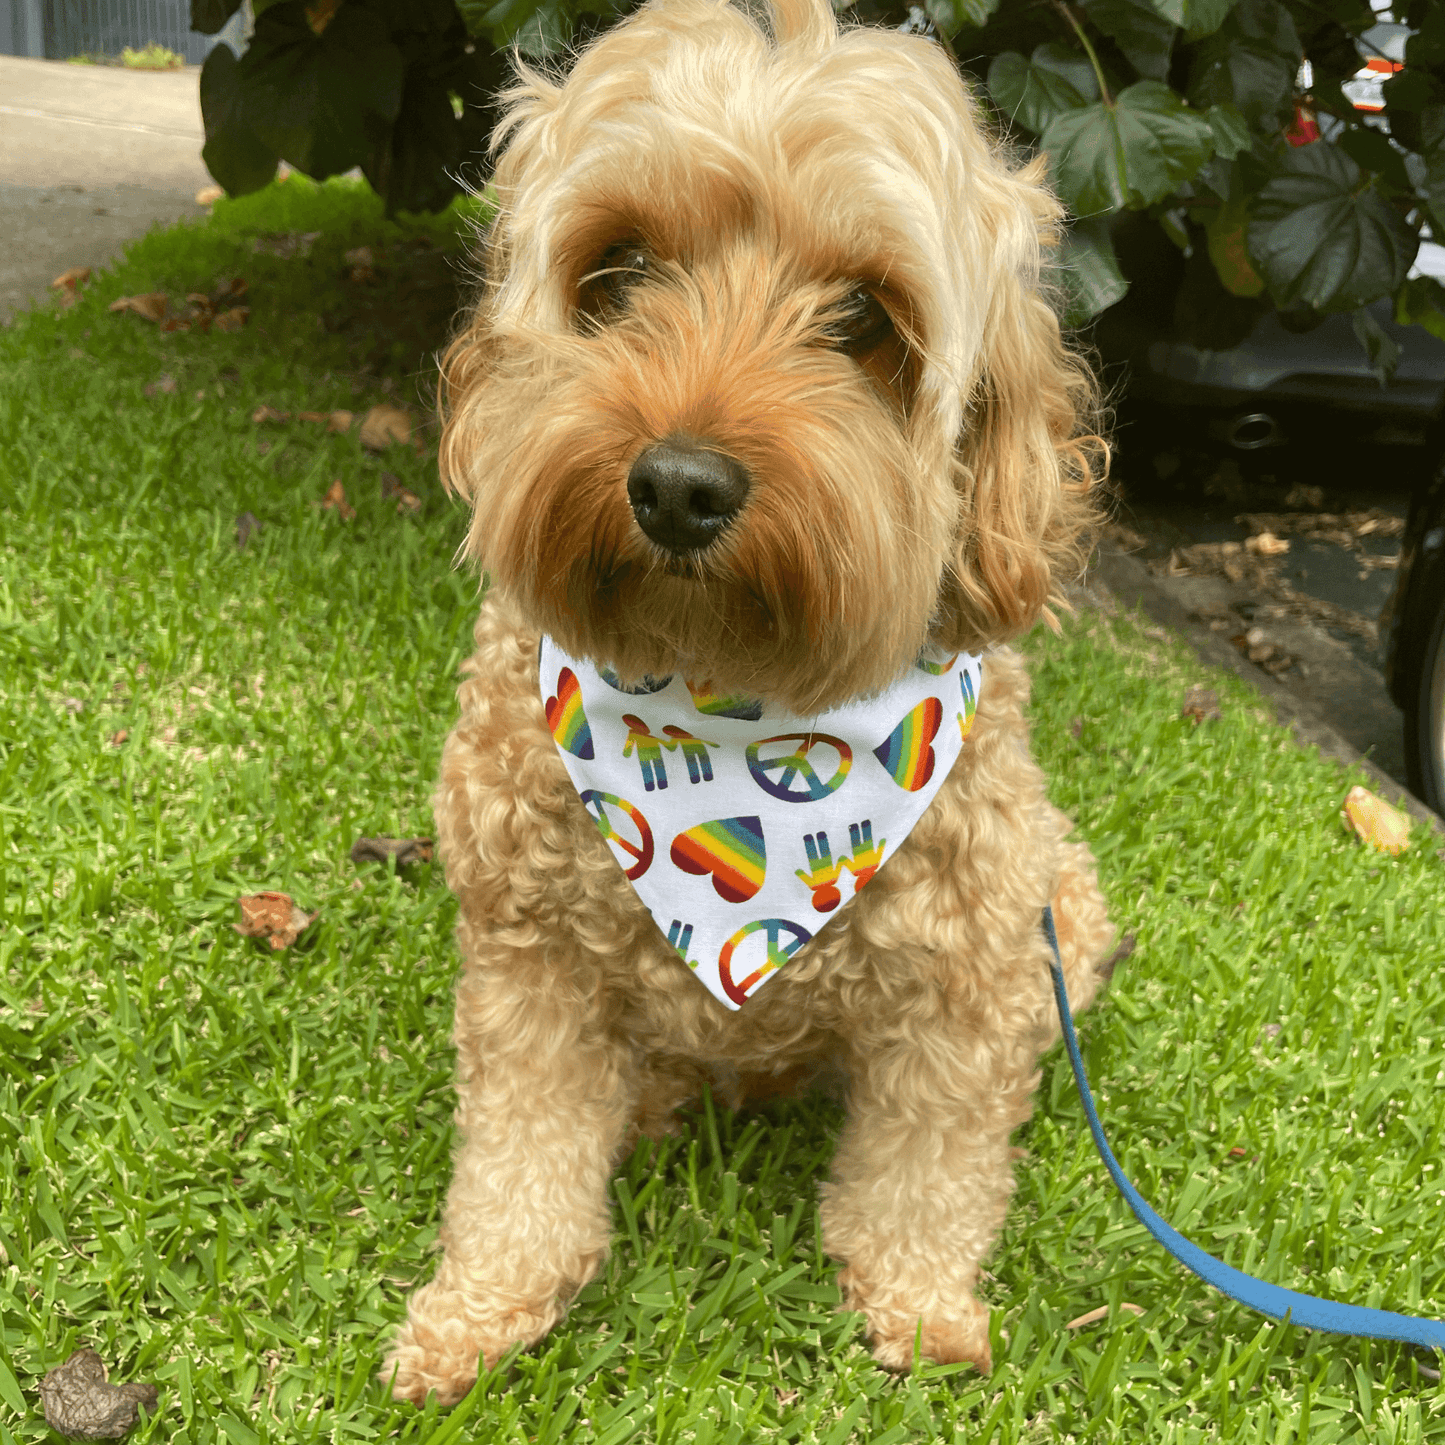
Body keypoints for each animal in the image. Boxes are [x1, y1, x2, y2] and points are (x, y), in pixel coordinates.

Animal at [387, 0, 1115, 1404]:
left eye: (863, 314)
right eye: (617, 269)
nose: (678, 485)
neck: (723, 697)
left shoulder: (967, 977)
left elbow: (928, 1167)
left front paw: (919, 1303)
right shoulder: (526, 956)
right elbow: (520, 1150)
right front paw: (482, 1303)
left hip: (1070, 905)